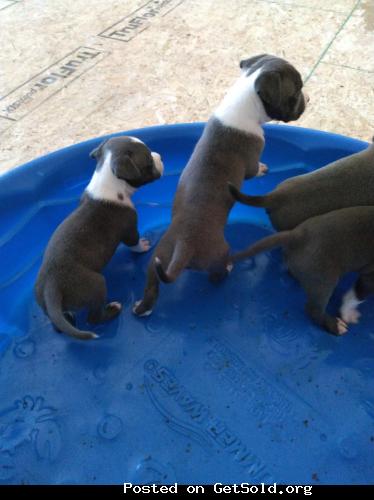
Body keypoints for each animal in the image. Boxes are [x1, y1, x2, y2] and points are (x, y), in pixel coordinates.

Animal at [34, 136, 163, 340]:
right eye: (149, 162)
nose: (160, 156)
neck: (107, 180)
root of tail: (50, 289)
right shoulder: (129, 228)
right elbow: (134, 242)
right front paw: (143, 246)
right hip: (96, 285)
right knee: (93, 318)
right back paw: (113, 310)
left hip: (49, 306)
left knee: (60, 325)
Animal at [133, 52, 308, 314]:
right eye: (296, 91)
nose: (308, 98)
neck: (243, 101)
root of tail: (184, 244)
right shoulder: (251, 162)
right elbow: (255, 170)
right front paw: (263, 169)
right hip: (217, 253)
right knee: (216, 275)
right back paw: (227, 268)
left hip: (157, 260)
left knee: (151, 285)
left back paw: (141, 308)